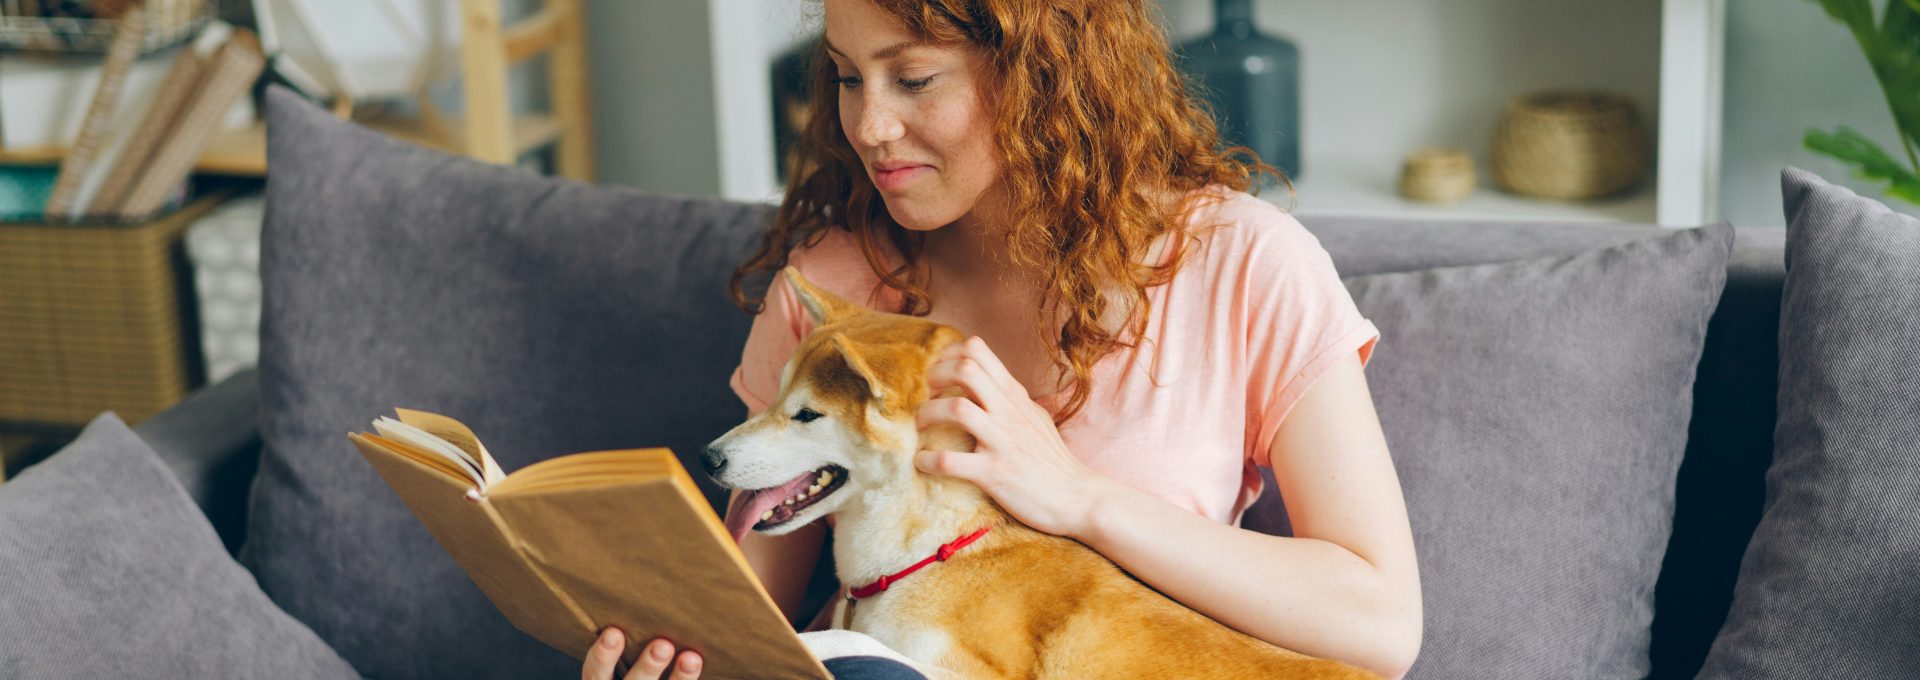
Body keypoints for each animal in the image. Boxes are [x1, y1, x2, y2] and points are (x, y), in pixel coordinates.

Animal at [706, 265, 1382, 680]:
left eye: (806, 415)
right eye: (774, 397)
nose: (711, 458)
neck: (928, 551)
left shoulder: (976, 674)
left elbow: (853, 644)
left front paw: (803, 641)